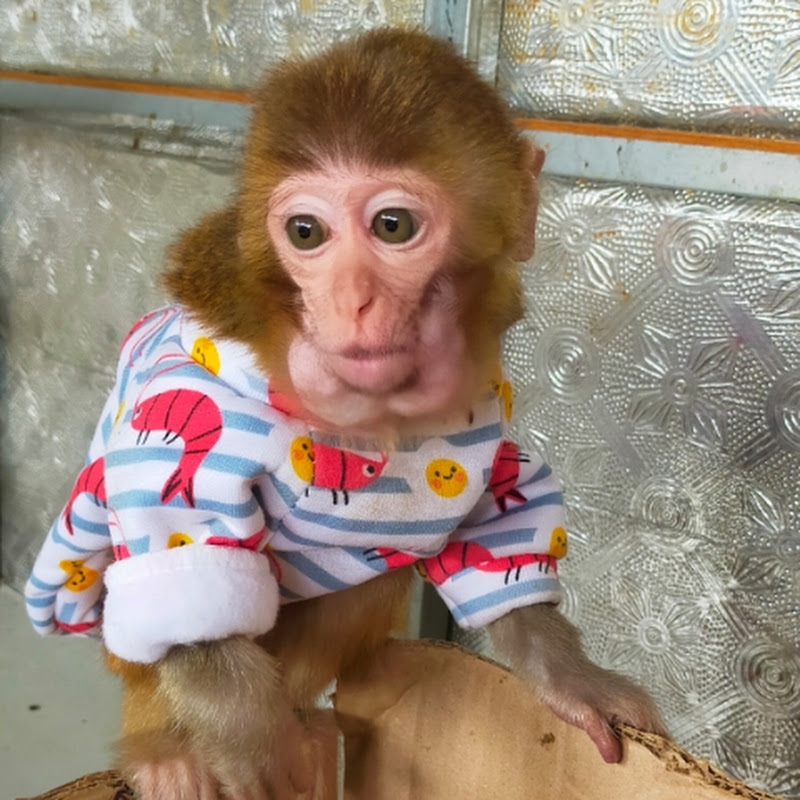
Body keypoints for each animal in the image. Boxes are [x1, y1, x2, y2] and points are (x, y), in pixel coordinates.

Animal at [25, 28, 665, 800]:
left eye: (393, 225)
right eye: (305, 233)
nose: (352, 301)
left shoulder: (483, 415)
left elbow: (497, 527)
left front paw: (573, 681)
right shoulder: (189, 411)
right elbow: (186, 577)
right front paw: (254, 753)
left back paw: (307, 726)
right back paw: (166, 751)